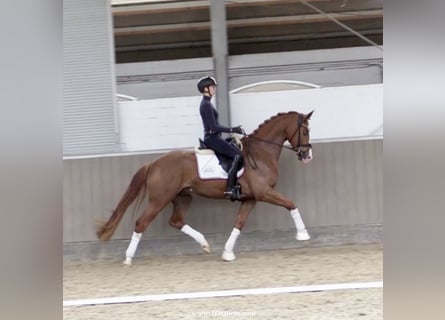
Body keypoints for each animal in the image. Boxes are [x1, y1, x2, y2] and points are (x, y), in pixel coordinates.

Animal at [97, 111, 312, 264]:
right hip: (160, 199)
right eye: (305, 131)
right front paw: (303, 235)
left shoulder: (250, 198)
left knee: (176, 221)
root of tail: (154, 163)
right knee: (141, 222)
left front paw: (227, 253)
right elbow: (291, 204)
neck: (260, 153)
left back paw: (204, 244)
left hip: (183, 197)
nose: (307, 156)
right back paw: (128, 258)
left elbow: (239, 223)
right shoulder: (264, 192)